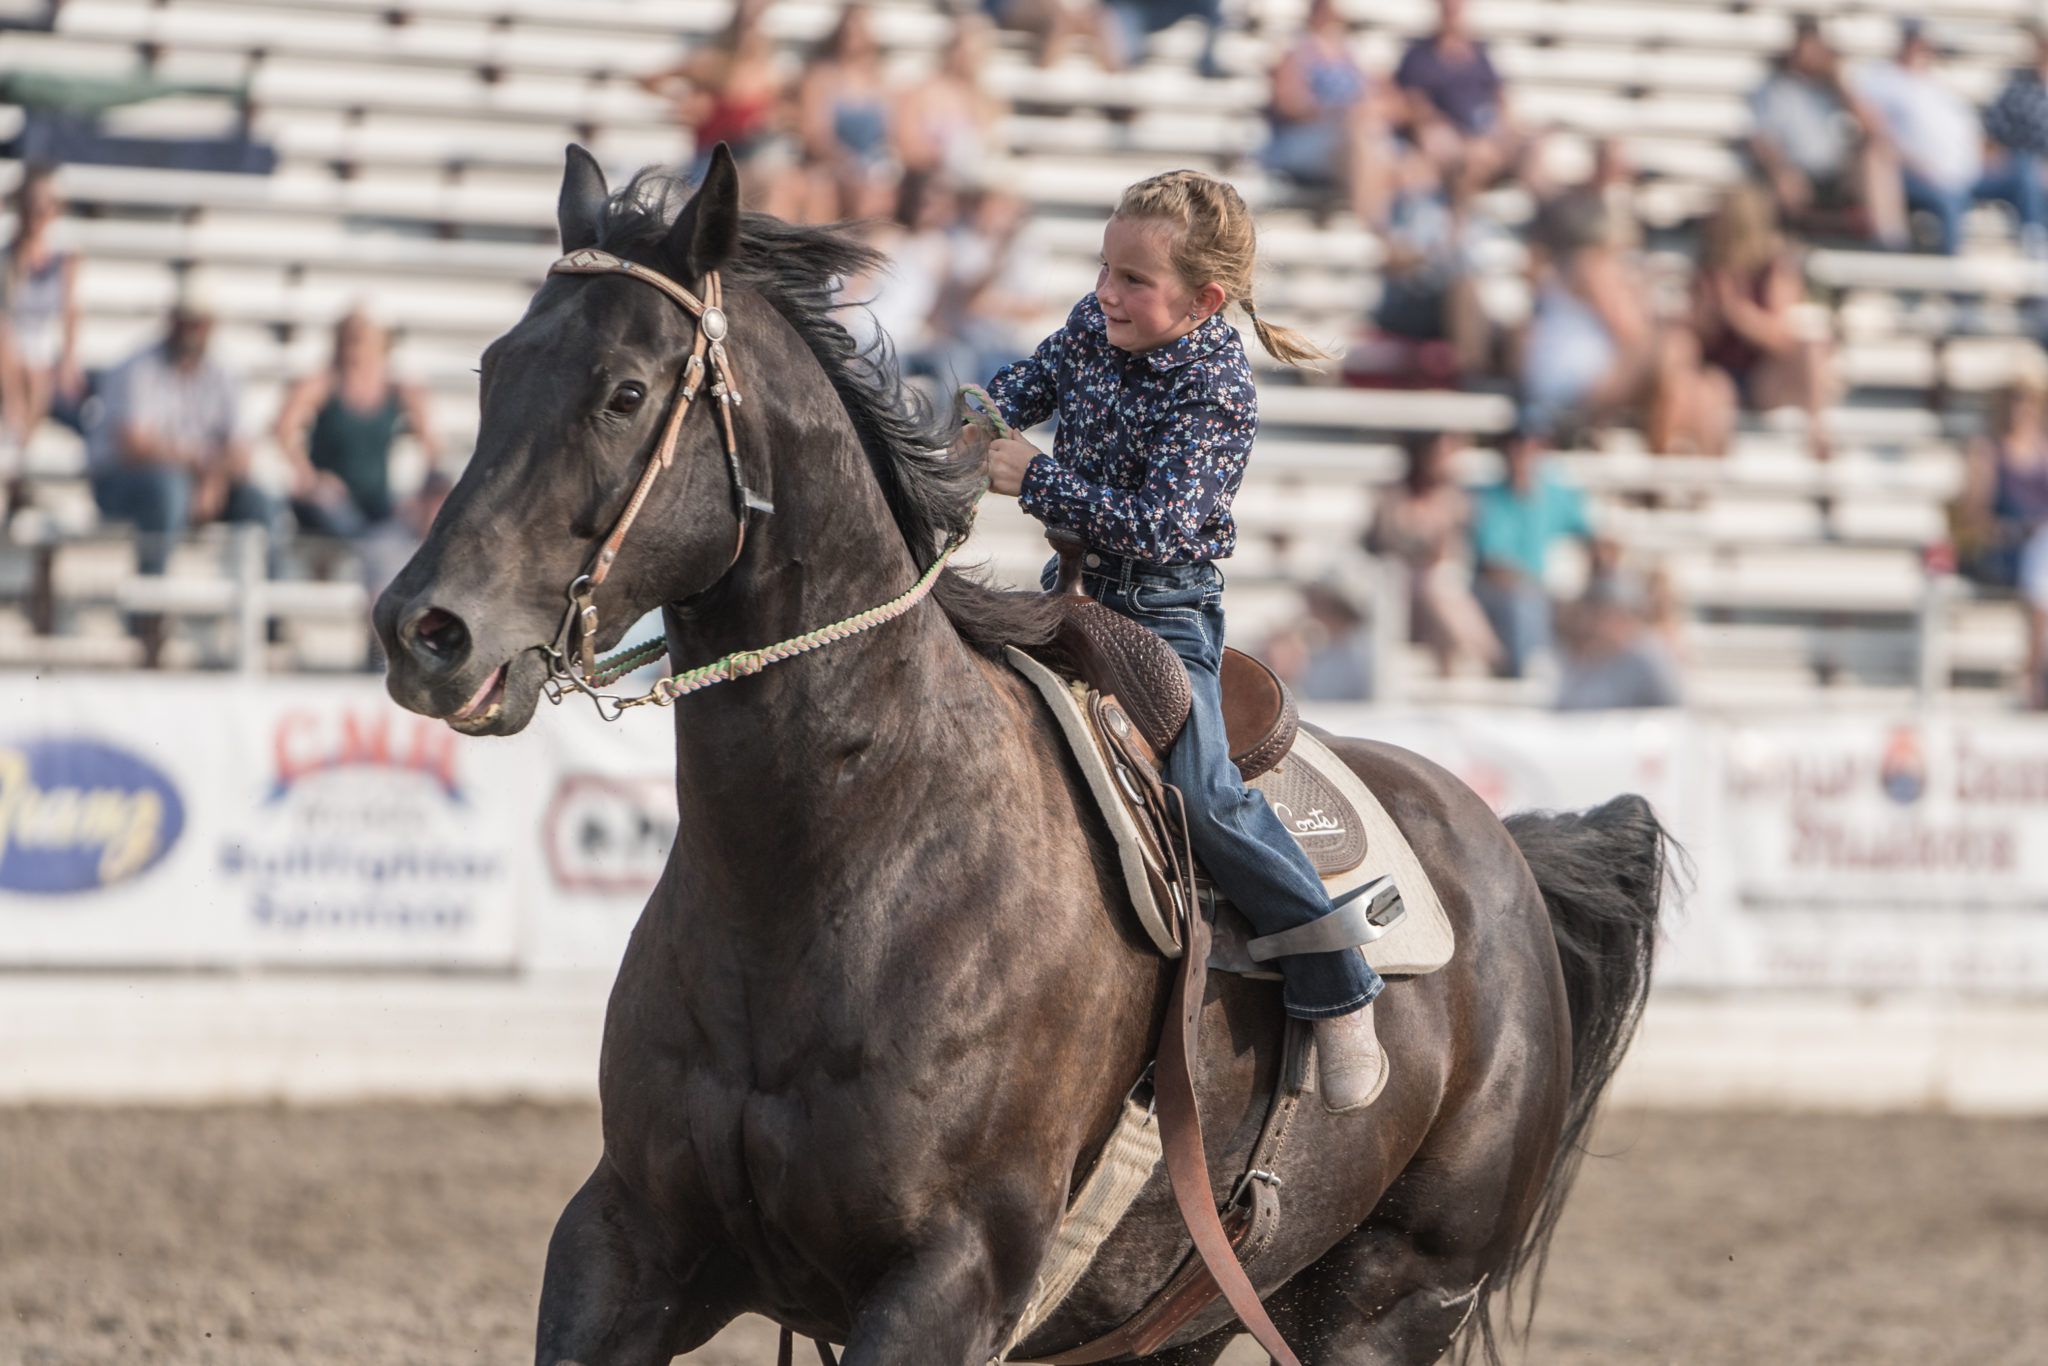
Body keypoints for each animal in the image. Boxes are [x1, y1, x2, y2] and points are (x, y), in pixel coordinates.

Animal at [372, 149, 1679, 1366]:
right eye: (492, 369)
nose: (422, 629)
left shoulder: (950, 1277)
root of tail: (1504, 852)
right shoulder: (624, 1240)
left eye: (626, 390)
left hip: (1391, 1301)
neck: (843, 854)